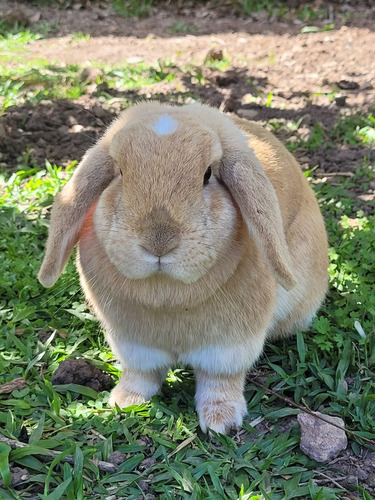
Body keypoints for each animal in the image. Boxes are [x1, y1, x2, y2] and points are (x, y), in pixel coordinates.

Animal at [39, 101, 328, 434]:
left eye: (207, 175)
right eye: (120, 173)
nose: (159, 242)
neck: (167, 294)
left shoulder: (229, 345)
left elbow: (220, 380)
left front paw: (221, 421)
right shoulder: (133, 342)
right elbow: (142, 374)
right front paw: (125, 402)